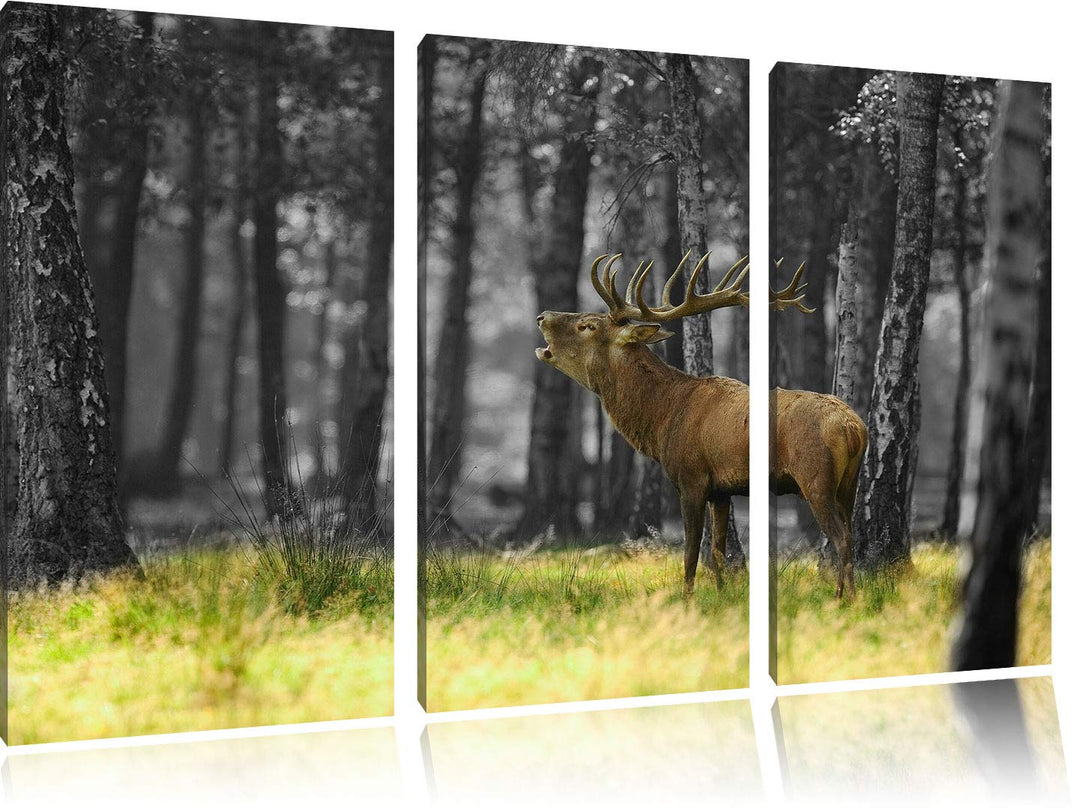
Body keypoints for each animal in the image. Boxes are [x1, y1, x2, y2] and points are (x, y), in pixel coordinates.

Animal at [534, 252, 867, 598]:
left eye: (588, 325)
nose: (542, 316)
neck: (662, 420)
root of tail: (854, 429)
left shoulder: (690, 477)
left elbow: (691, 552)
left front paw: (687, 600)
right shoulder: (722, 490)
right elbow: (718, 550)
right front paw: (721, 596)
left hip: (816, 477)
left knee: (841, 537)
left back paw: (843, 598)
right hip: (850, 483)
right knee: (851, 533)